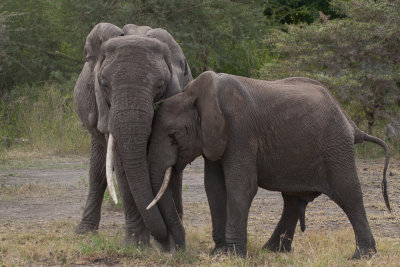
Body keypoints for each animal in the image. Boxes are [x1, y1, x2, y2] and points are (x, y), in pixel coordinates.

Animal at [73, 23, 192, 249]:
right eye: (104, 84)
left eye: (160, 85)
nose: (168, 241)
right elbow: (122, 168)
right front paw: (135, 245)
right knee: (98, 172)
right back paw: (83, 232)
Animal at [145, 71, 390, 260]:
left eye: (173, 136)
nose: (176, 250)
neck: (195, 95)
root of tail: (352, 124)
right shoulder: (215, 139)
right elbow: (214, 188)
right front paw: (219, 253)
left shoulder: (239, 131)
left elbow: (240, 187)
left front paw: (234, 255)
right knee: (292, 200)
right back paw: (273, 251)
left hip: (335, 146)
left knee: (348, 194)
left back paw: (362, 256)